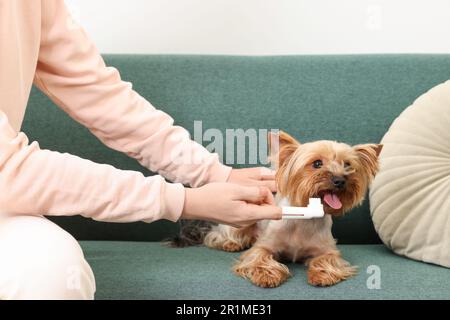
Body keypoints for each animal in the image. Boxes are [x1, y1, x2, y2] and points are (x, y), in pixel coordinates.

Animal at [204, 131, 384, 288]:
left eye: (347, 165)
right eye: (317, 163)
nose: (340, 180)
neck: (305, 216)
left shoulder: (328, 250)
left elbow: (327, 259)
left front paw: (322, 275)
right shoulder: (264, 245)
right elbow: (259, 256)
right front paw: (266, 275)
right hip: (242, 223)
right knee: (223, 233)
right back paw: (230, 243)